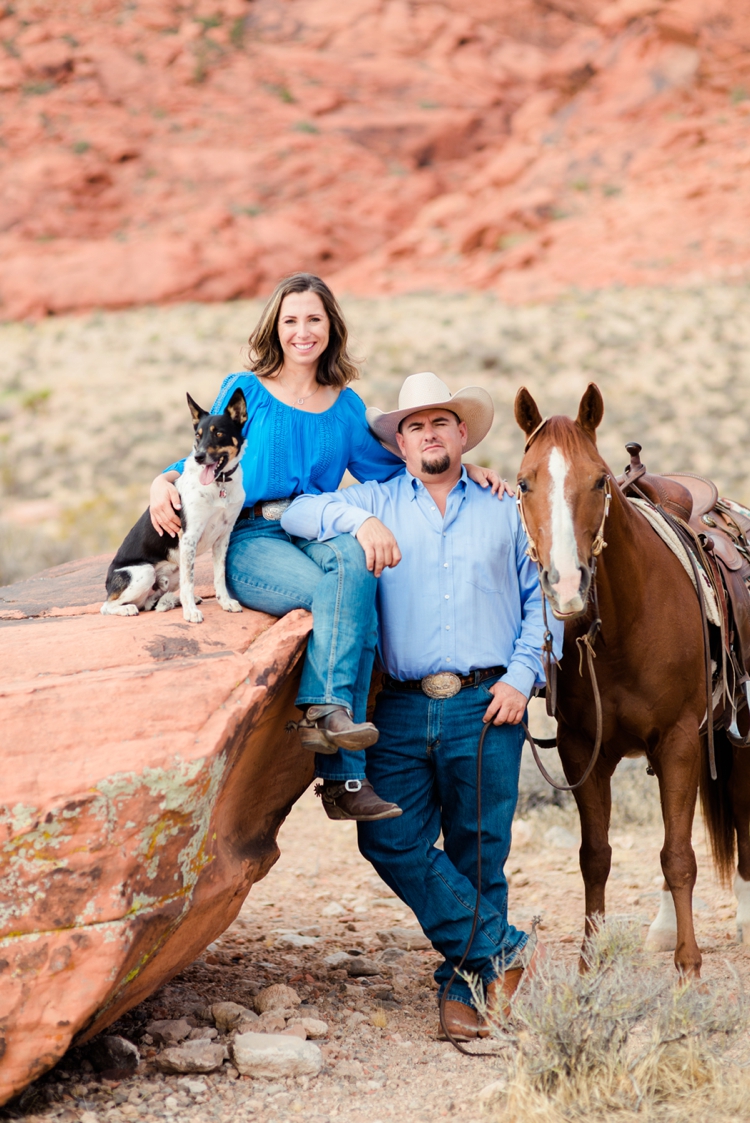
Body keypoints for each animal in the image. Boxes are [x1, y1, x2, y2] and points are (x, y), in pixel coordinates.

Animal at [101, 390, 247, 624]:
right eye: (197, 436)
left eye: (219, 433)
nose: (198, 457)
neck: (220, 484)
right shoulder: (188, 537)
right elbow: (190, 581)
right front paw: (191, 613)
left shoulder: (223, 538)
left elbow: (219, 576)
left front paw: (225, 602)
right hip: (144, 572)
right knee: (107, 606)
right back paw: (127, 609)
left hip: (173, 570)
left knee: (150, 601)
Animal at [516, 384, 750, 974]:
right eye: (524, 481)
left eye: (599, 480)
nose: (567, 583)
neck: (623, 623)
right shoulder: (582, 749)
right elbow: (596, 855)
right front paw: (589, 962)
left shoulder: (678, 740)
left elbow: (679, 856)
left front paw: (689, 966)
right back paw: (663, 928)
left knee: (738, 807)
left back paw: (743, 918)